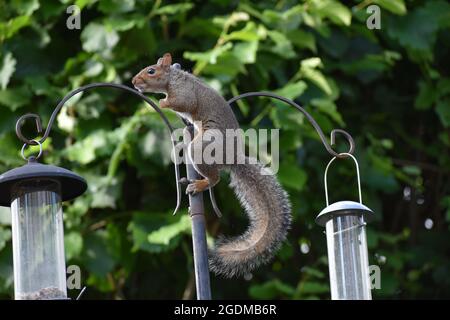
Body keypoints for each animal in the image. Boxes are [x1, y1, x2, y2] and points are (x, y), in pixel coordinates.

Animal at [132, 53, 292, 278]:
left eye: (151, 71)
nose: (133, 82)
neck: (174, 79)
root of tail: (232, 158)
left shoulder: (185, 93)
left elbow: (182, 103)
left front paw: (162, 102)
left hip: (201, 150)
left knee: (214, 178)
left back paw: (199, 184)